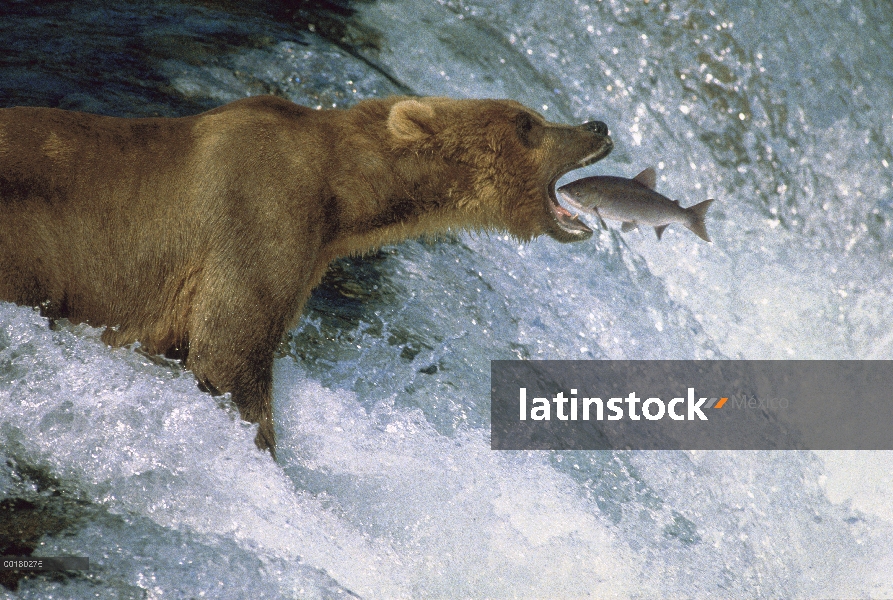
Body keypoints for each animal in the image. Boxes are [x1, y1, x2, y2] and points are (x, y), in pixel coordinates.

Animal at [0, 96, 608, 458]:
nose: (597, 125)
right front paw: (264, 449)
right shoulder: (259, 215)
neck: (342, 195)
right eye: (528, 124)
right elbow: (229, 351)